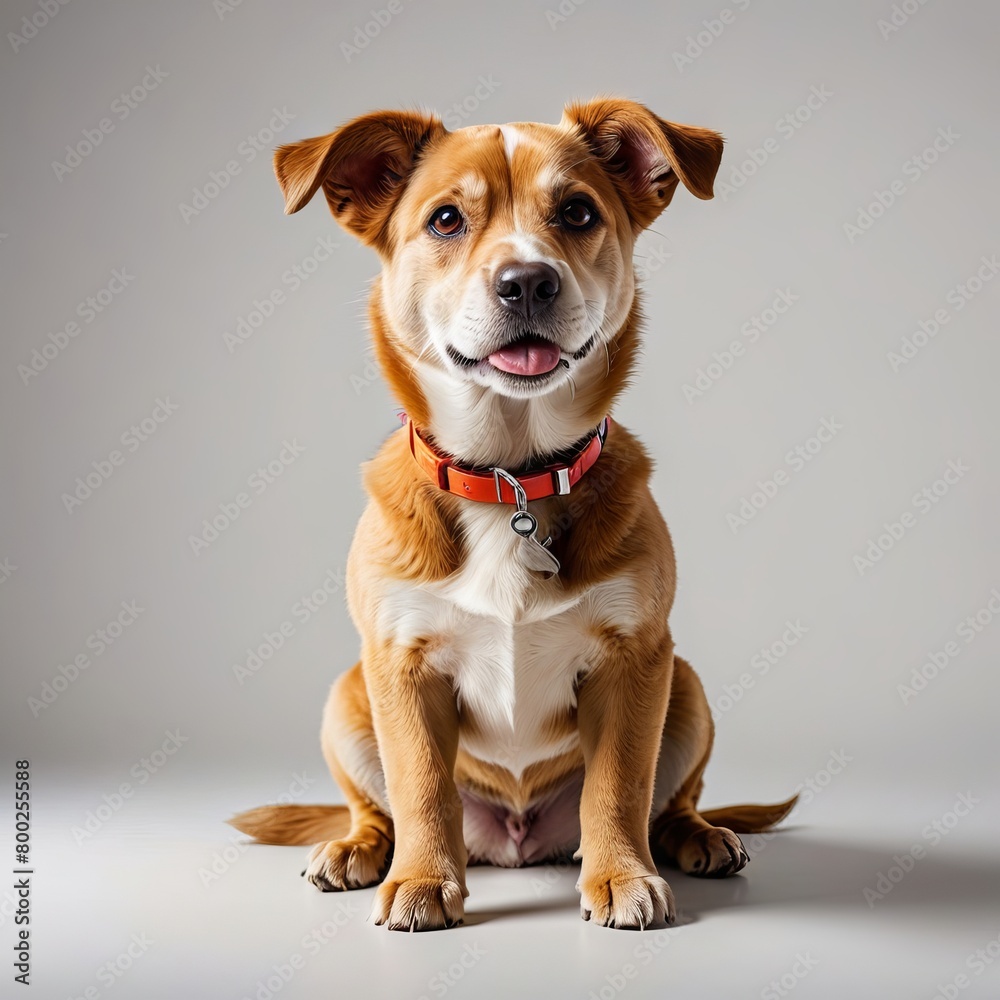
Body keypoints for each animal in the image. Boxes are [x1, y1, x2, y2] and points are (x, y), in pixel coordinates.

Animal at [232, 99, 796, 928]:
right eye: (445, 220)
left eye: (578, 212)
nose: (527, 281)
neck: (511, 477)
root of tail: (516, 841)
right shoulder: (401, 665)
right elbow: (421, 788)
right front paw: (423, 880)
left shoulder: (635, 658)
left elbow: (619, 786)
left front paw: (621, 875)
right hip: (347, 694)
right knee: (376, 808)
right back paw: (359, 849)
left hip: (686, 684)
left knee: (668, 801)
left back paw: (696, 835)